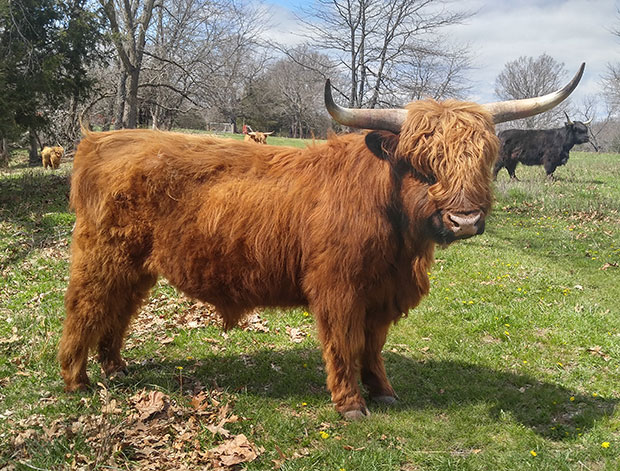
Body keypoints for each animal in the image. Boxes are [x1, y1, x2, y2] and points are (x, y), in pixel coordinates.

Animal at [58, 62, 588, 420]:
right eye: (420, 163)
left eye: (483, 157)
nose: (465, 219)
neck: (398, 243)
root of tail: (100, 140)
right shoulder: (338, 288)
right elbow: (344, 343)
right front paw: (351, 403)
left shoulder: (382, 293)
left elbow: (372, 346)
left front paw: (383, 390)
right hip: (102, 257)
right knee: (86, 307)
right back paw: (77, 379)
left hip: (136, 266)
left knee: (118, 311)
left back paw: (115, 368)